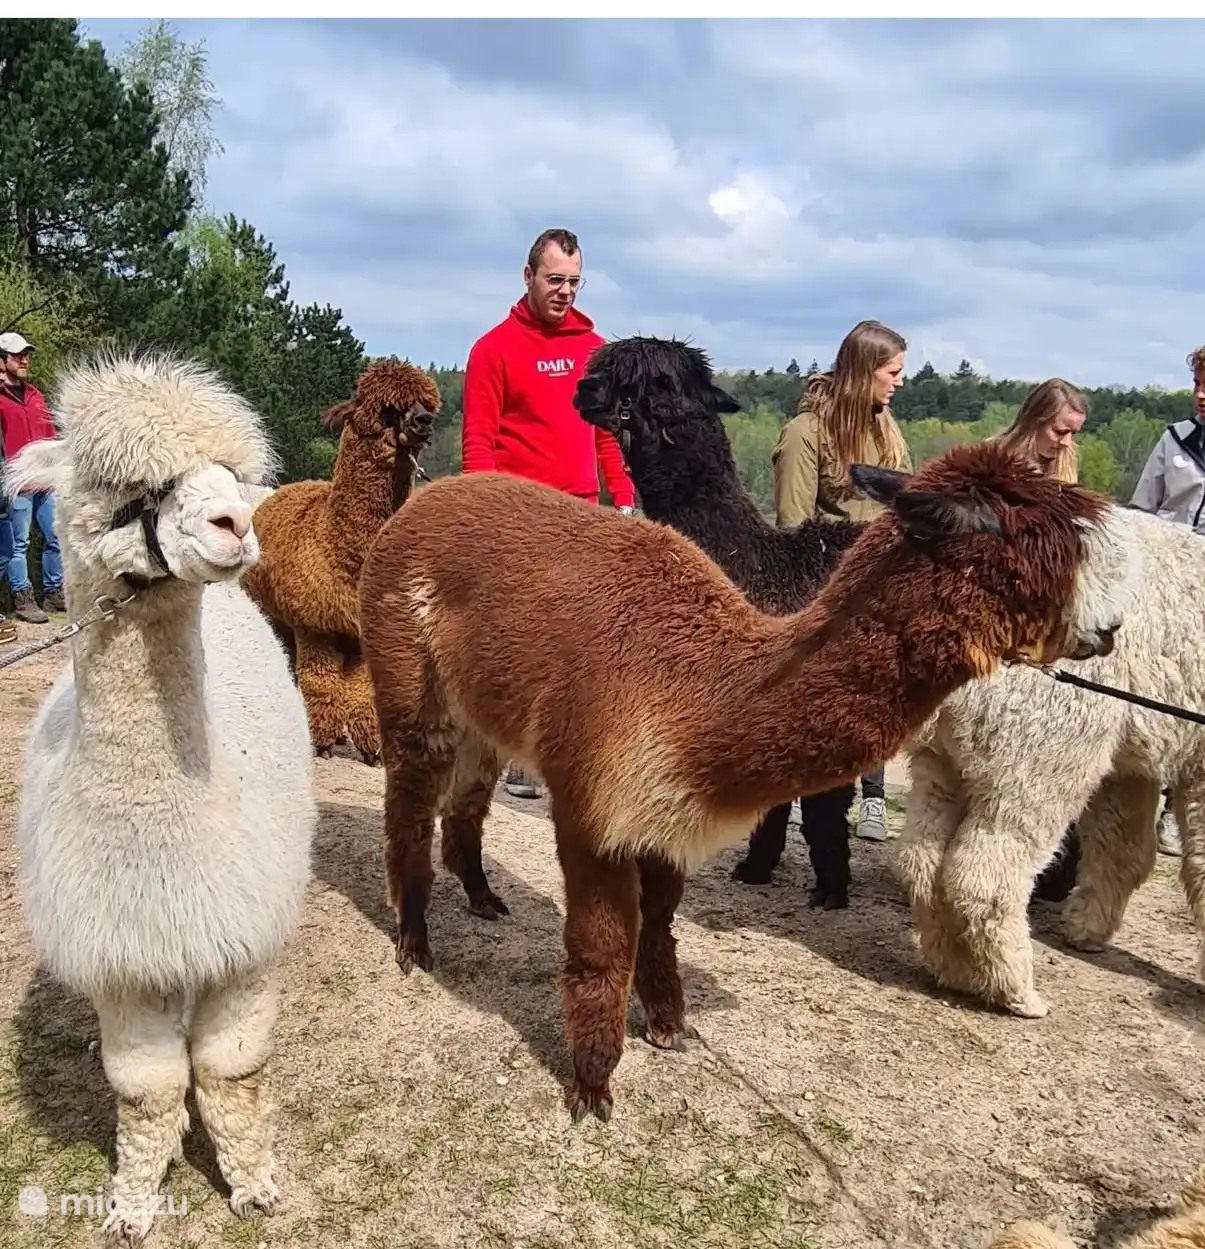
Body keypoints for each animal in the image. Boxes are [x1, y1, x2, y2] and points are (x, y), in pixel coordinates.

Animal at [6, 352, 317, 1245]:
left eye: (231, 472)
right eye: (127, 483)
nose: (233, 523)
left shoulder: (242, 937)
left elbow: (229, 1069)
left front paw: (253, 1183)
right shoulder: (123, 952)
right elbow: (145, 1087)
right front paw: (133, 1201)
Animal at [239, 356, 439, 764]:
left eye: (427, 403)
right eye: (388, 407)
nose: (424, 421)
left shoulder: (359, 631)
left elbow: (362, 694)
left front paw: (371, 749)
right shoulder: (315, 625)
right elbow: (320, 684)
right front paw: (322, 743)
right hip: (274, 613)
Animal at [356, 438, 1139, 1123]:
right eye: (1034, 549)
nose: (1109, 629)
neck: (697, 692)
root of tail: (429, 496)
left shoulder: (663, 817)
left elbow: (660, 924)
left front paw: (668, 1024)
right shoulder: (594, 807)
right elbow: (601, 947)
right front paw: (591, 1087)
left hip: (484, 713)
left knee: (465, 802)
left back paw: (483, 898)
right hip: (407, 675)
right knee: (409, 806)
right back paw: (414, 942)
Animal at [572, 334, 864, 907]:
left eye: (654, 381)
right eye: (604, 365)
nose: (582, 388)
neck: (758, 566)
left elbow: (821, 806)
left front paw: (831, 890)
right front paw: (756, 868)